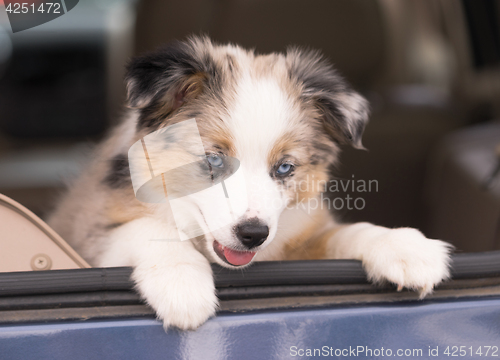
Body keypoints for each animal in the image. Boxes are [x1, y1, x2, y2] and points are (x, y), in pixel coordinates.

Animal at [49, 35, 454, 330]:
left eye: (285, 168)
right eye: (214, 159)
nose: (253, 235)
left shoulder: (300, 233)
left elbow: (346, 232)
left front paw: (405, 247)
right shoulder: (86, 228)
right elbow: (145, 227)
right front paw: (181, 283)